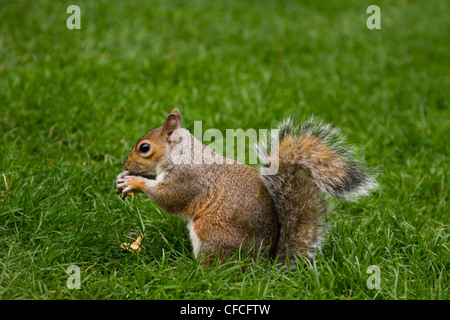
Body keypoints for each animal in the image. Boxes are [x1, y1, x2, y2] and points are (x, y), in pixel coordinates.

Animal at [115, 110, 376, 264]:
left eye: (144, 147)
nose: (125, 164)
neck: (182, 153)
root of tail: (262, 264)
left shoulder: (187, 179)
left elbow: (169, 197)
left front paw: (134, 182)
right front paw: (124, 179)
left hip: (211, 232)